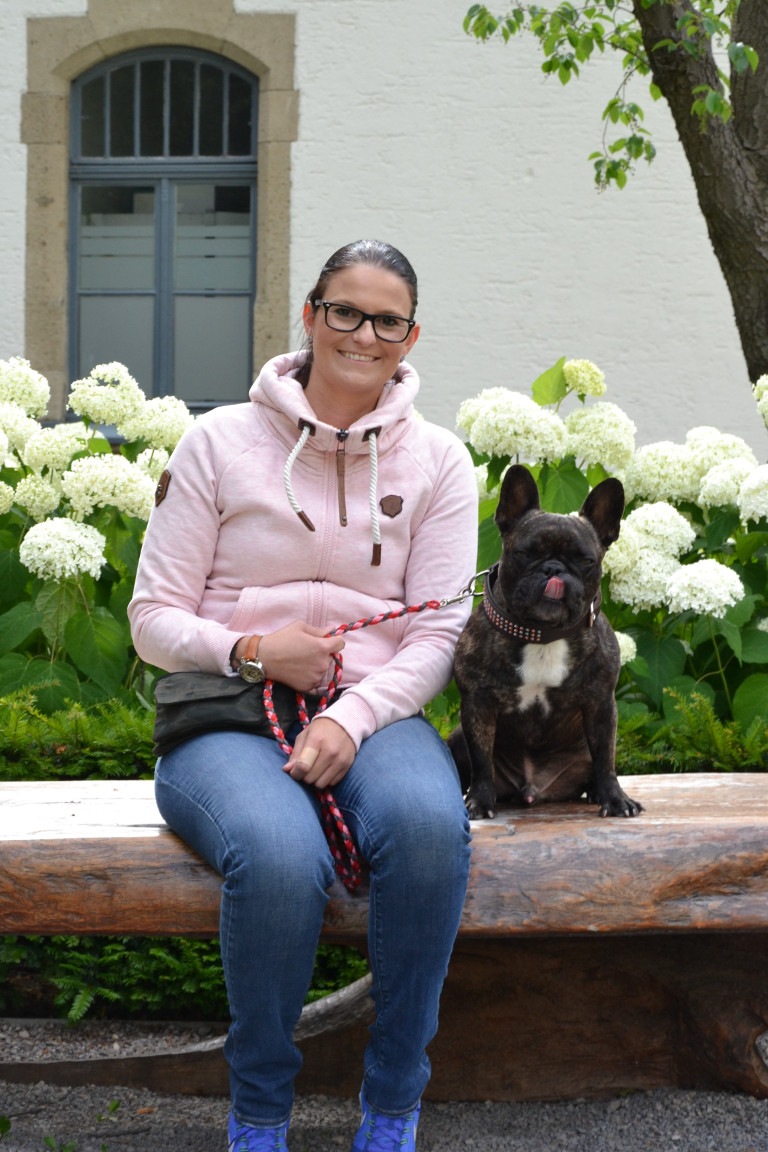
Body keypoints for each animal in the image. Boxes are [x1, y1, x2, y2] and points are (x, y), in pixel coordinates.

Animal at [451, 463, 644, 824]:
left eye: (586, 561)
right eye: (524, 553)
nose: (553, 569)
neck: (541, 634)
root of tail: (533, 790)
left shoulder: (601, 705)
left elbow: (606, 758)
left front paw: (615, 798)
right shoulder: (477, 706)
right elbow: (482, 760)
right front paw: (479, 801)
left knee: (597, 763)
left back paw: (596, 792)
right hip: (456, 737)